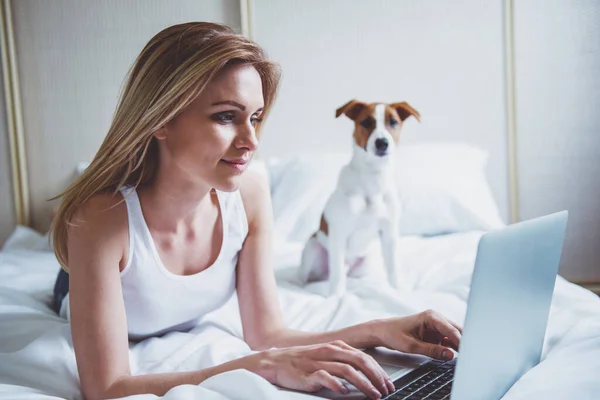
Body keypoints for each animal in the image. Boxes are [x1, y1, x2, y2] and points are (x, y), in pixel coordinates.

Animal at [298, 98, 420, 296]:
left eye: (393, 122)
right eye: (366, 122)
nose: (382, 142)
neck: (373, 178)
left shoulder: (389, 233)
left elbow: (393, 267)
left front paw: (398, 289)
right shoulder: (339, 233)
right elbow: (337, 275)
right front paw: (336, 296)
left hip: (366, 260)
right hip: (313, 249)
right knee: (310, 276)